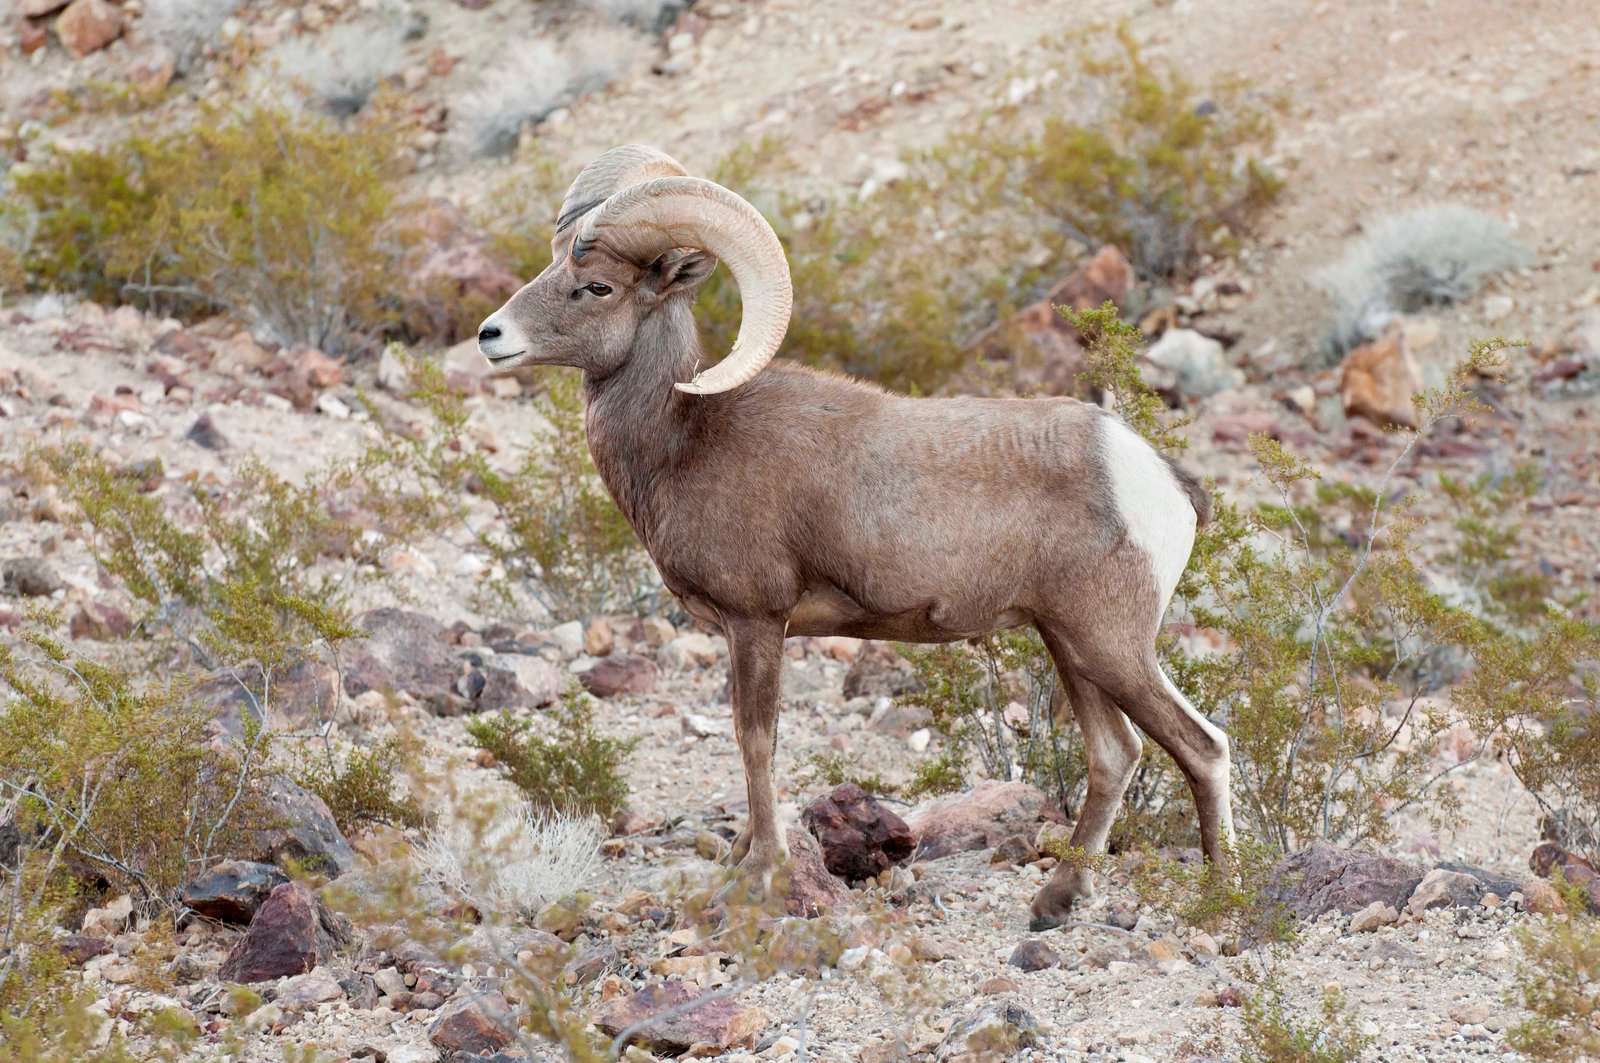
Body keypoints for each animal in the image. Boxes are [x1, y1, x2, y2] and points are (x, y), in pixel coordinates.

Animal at [480, 145, 1228, 928]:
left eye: (596, 285)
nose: (491, 335)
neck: (683, 437)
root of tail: (1159, 477)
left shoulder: (757, 621)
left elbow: (756, 740)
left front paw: (760, 875)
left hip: (1110, 645)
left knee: (1203, 748)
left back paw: (1220, 897)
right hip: (1070, 646)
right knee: (1116, 754)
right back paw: (1055, 902)